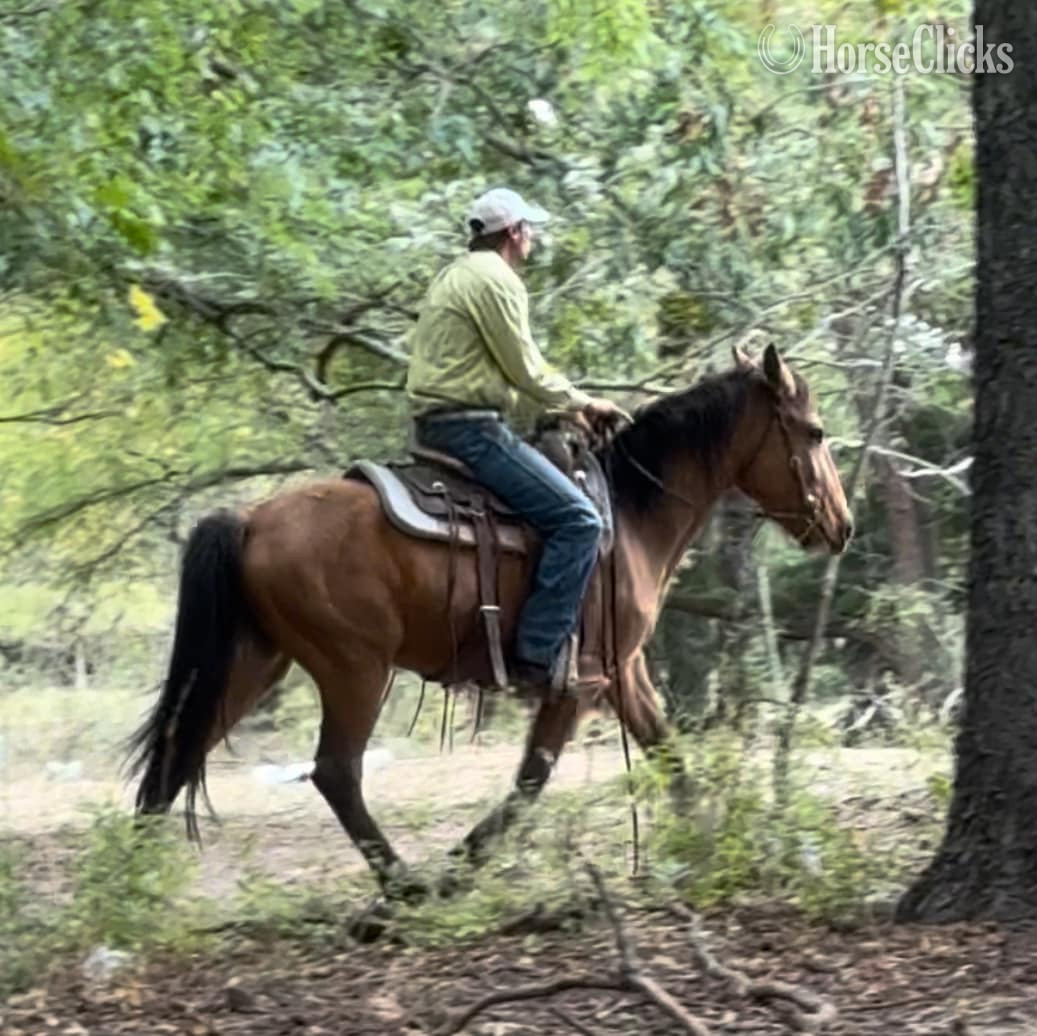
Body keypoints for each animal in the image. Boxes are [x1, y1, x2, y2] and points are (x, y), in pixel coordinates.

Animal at [128, 343, 852, 896]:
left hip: (256, 662)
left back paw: (128, 886)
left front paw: (713, 849)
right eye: (814, 432)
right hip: (353, 668)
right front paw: (459, 871)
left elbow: (668, 754)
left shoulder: (623, 673)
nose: (842, 526)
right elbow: (531, 778)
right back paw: (406, 888)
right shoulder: (580, 683)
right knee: (336, 771)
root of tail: (250, 518)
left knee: (177, 753)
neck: (629, 513)